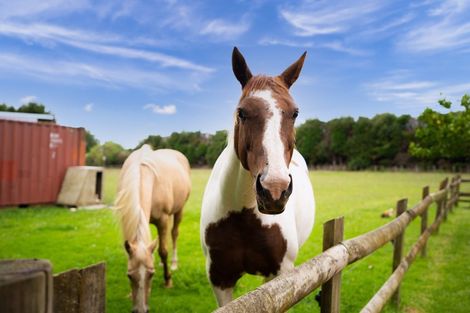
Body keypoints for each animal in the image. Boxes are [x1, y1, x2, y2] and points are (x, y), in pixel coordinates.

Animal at [115, 144, 191, 312]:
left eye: (151, 274)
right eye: (129, 275)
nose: (141, 310)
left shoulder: (163, 220)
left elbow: (163, 251)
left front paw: (168, 281)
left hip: (179, 210)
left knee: (174, 235)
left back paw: (173, 263)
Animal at [199, 47, 316, 306]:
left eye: (295, 113)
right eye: (242, 112)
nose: (274, 189)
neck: (244, 217)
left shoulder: (279, 275)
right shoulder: (220, 278)